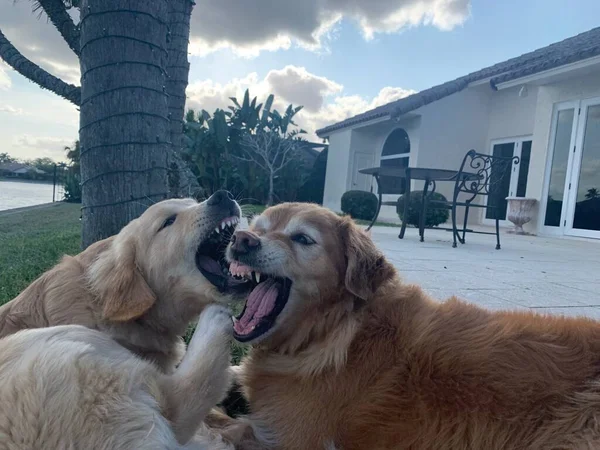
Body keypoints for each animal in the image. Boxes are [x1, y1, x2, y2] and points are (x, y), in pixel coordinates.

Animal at [219, 203, 600, 450]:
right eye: (259, 228)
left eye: (302, 238)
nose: (241, 239)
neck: (332, 331)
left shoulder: (290, 438)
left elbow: (222, 425)